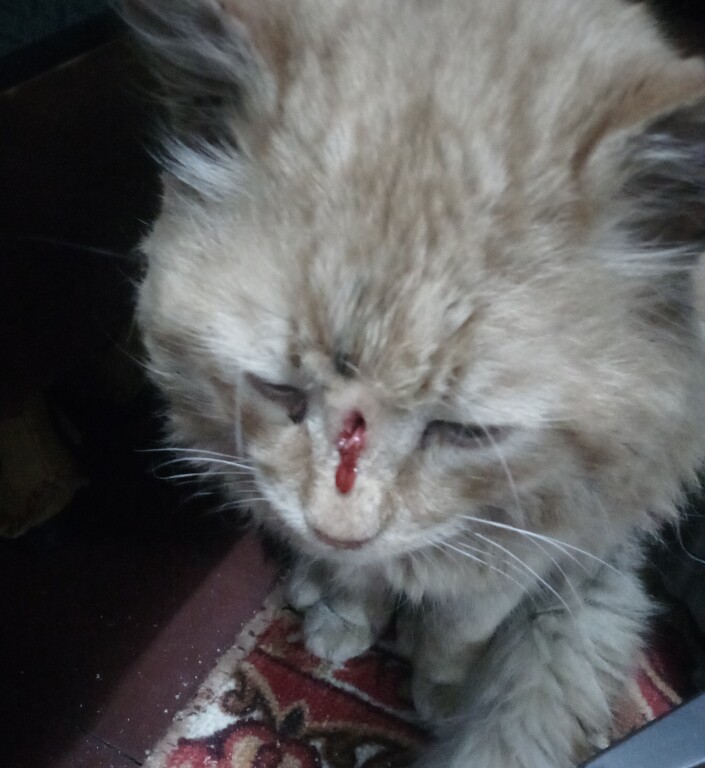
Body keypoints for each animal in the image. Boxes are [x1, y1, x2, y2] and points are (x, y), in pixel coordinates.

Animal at [123, 0, 705, 765]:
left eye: (467, 432)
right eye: (279, 392)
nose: (338, 530)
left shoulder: (522, 549)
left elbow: (459, 634)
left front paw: (440, 691)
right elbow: (357, 580)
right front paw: (346, 614)